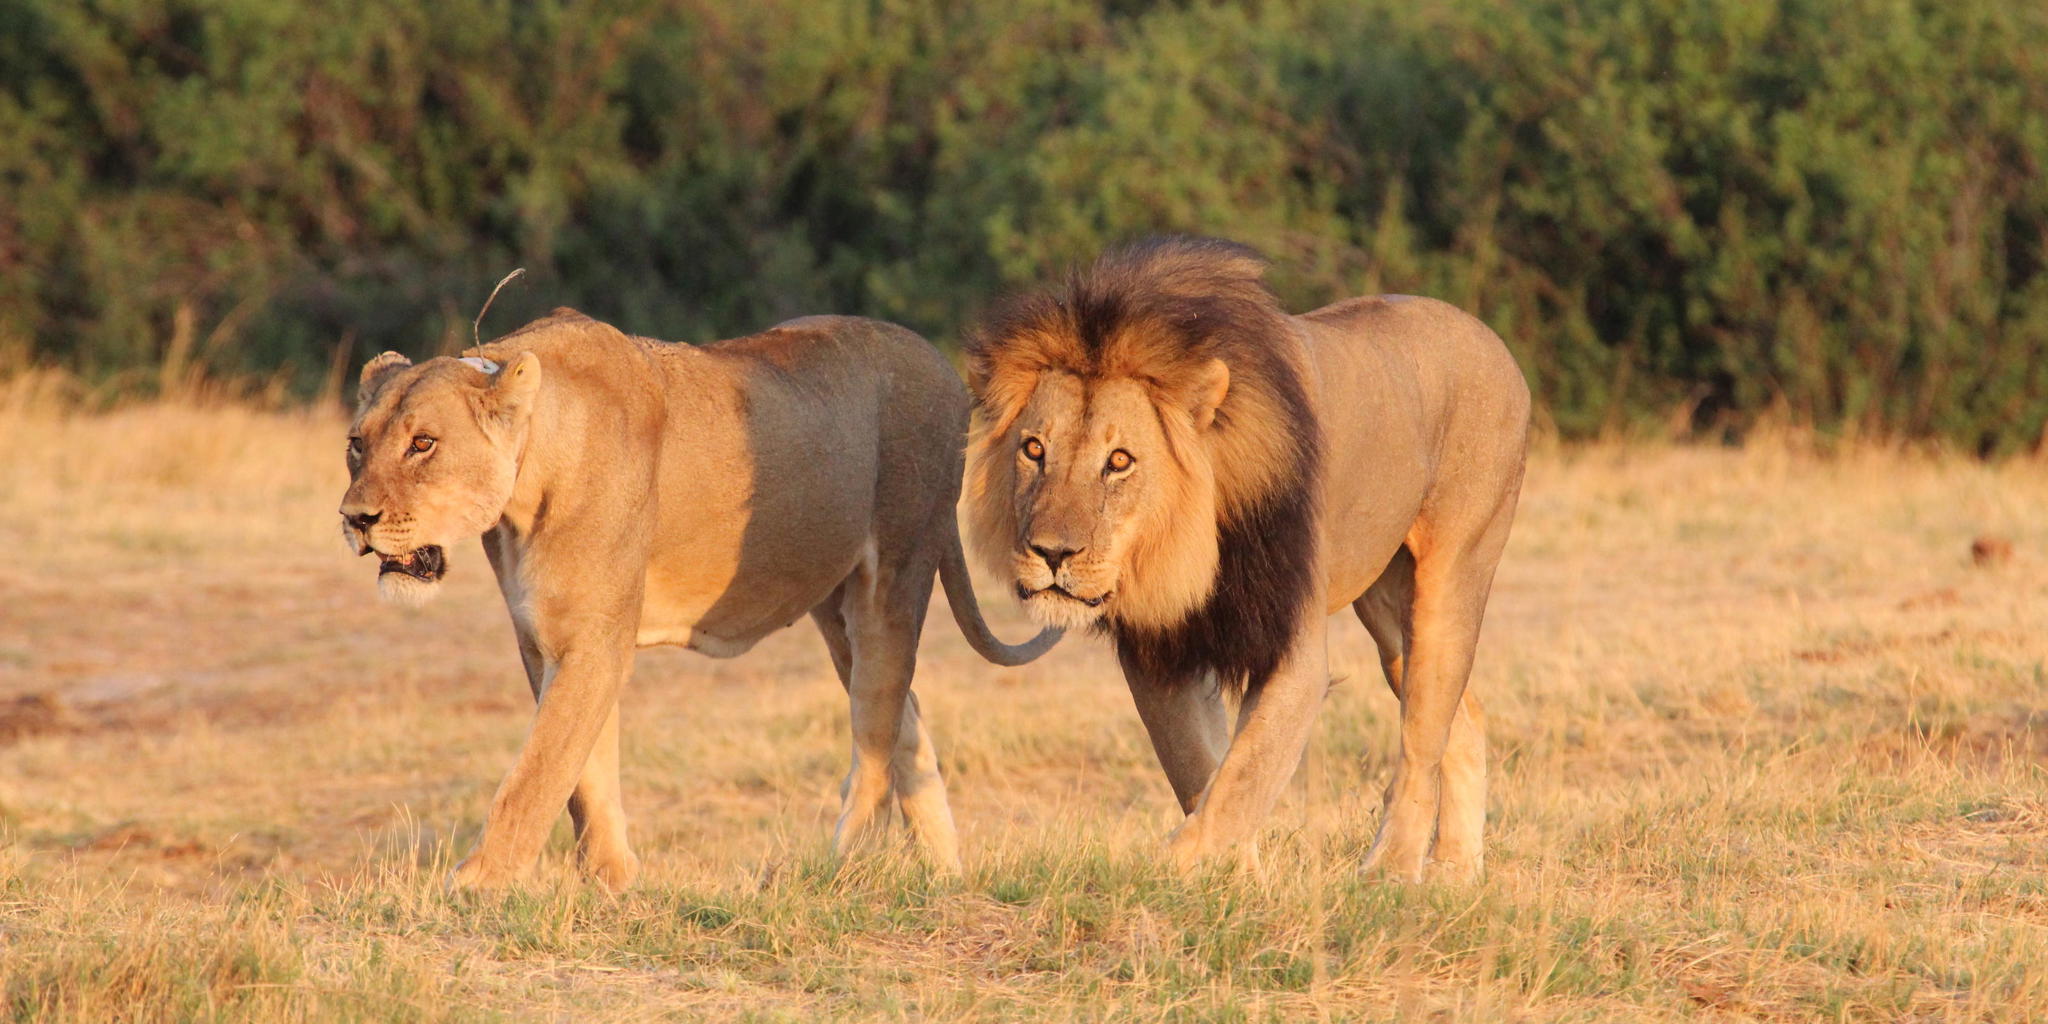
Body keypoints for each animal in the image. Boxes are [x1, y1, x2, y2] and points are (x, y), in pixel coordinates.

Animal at [339, 309, 1059, 890]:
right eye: (356, 444)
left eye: (423, 443)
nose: (355, 519)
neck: (530, 472)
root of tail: (942, 364)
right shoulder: (545, 638)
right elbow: (584, 771)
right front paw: (611, 880)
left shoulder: (594, 640)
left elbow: (539, 771)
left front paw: (480, 883)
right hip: (837, 611)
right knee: (906, 720)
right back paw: (943, 877)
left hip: (896, 575)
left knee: (877, 736)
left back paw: (838, 870)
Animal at [963, 238, 1529, 880]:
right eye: (1034, 450)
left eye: (1119, 461)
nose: (1052, 552)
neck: (1191, 546)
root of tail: (1487, 336)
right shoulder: (1161, 650)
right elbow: (1201, 770)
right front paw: (1239, 881)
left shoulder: (1292, 649)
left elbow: (1241, 779)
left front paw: (1167, 871)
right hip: (1387, 609)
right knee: (1464, 718)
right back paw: (1456, 874)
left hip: (1454, 574)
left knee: (1421, 740)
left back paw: (1389, 872)